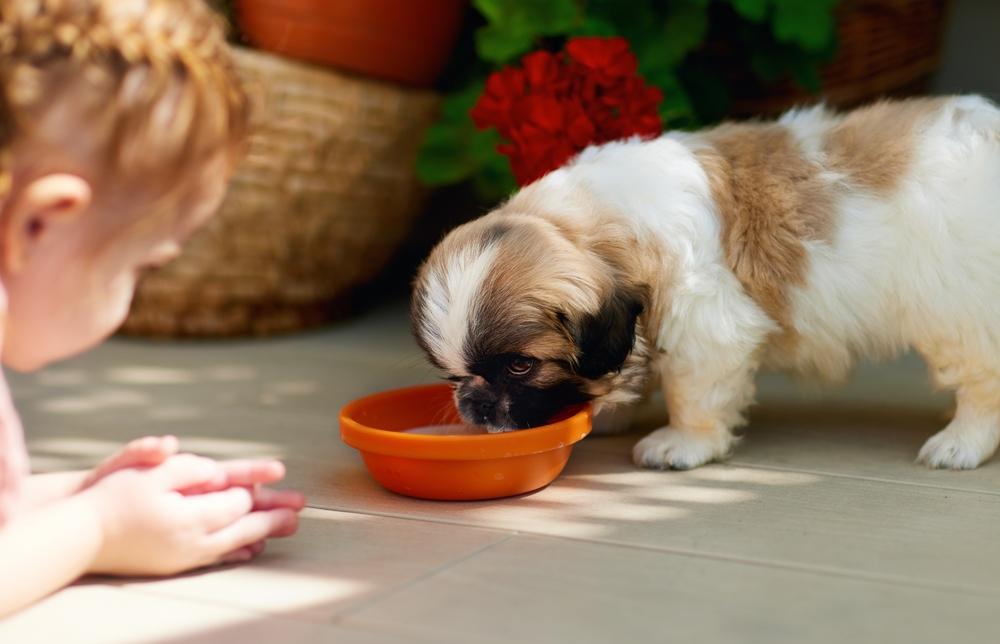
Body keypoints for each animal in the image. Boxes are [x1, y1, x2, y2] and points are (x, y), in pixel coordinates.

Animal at [410, 98, 1000, 472]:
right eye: (451, 375)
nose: (477, 404)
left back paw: (960, 442)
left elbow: (693, 390)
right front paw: (613, 410)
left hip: (960, 311)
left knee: (982, 382)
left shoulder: (704, 321)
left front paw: (682, 444)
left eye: (520, 366)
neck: (601, 221)